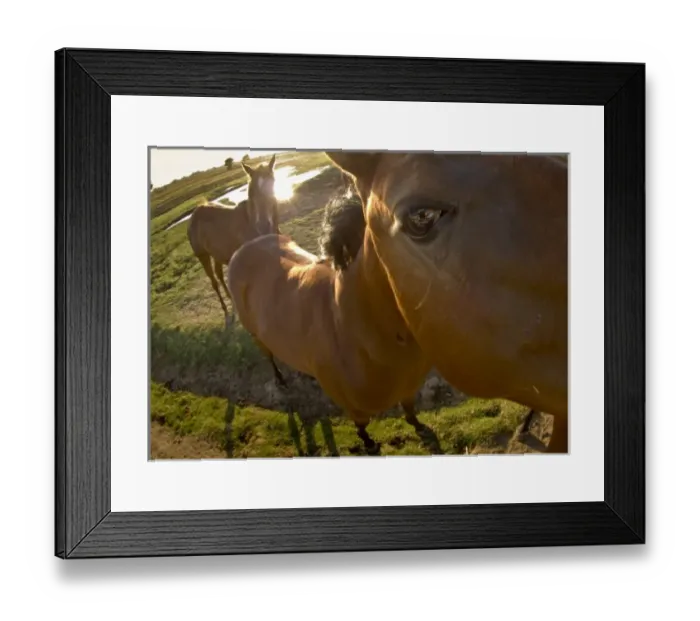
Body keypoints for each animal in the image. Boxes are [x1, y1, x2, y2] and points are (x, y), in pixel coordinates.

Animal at [187, 154, 279, 326]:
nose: (263, 225)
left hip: (216, 253)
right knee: (214, 282)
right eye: (252, 191)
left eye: (272, 182)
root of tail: (196, 212)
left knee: (219, 275)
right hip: (203, 256)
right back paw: (226, 311)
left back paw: (232, 302)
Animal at [227, 193, 433, 455]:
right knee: (269, 356)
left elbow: (409, 409)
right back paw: (281, 381)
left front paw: (420, 427)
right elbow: (361, 426)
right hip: (256, 335)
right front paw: (369, 445)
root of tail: (244, 248)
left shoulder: (408, 387)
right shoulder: (352, 405)